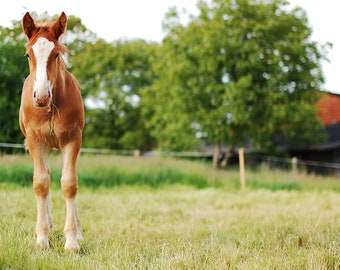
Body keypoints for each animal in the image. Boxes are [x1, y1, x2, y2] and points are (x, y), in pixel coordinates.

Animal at [20, 11, 85, 251]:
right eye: (27, 55)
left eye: (56, 54)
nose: (41, 96)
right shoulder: (35, 141)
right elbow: (41, 182)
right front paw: (42, 239)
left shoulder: (73, 140)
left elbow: (70, 183)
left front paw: (72, 241)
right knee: (45, 175)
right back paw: (47, 223)